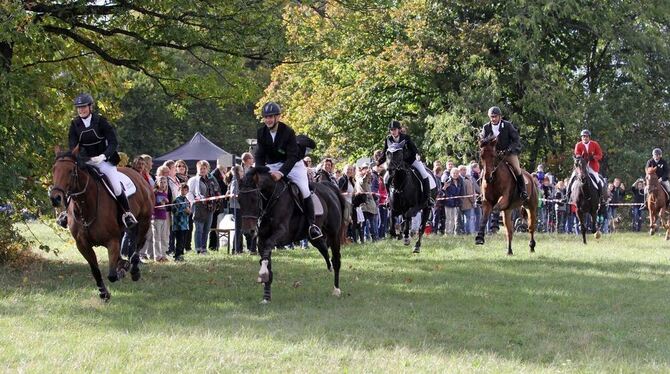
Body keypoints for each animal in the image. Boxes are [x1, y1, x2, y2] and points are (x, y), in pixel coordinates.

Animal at [50, 150, 155, 300]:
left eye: (71, 171)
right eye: (54, 169)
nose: (55, 198)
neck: (85, 206)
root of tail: (138, 174)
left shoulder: (111, 241)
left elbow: (112, 275)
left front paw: (121, 270)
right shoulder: (83, 245)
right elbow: (95, 270)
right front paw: (104, 292)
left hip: (144, 221)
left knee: (139, 244)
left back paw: (134, 270)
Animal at [239, 167, 346, 304]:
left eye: (254, 199)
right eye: (239, 200)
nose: (248, 232)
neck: (272, 199)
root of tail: (329, 187)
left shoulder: (281, 234)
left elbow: (269, 247)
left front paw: (262, 272)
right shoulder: (262, 239)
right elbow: (267, 259)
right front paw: (266, 297)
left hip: (334, 234)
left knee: (336, 259)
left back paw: (336, 290)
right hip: (312, 236)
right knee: (323, 247)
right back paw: (329, 267)